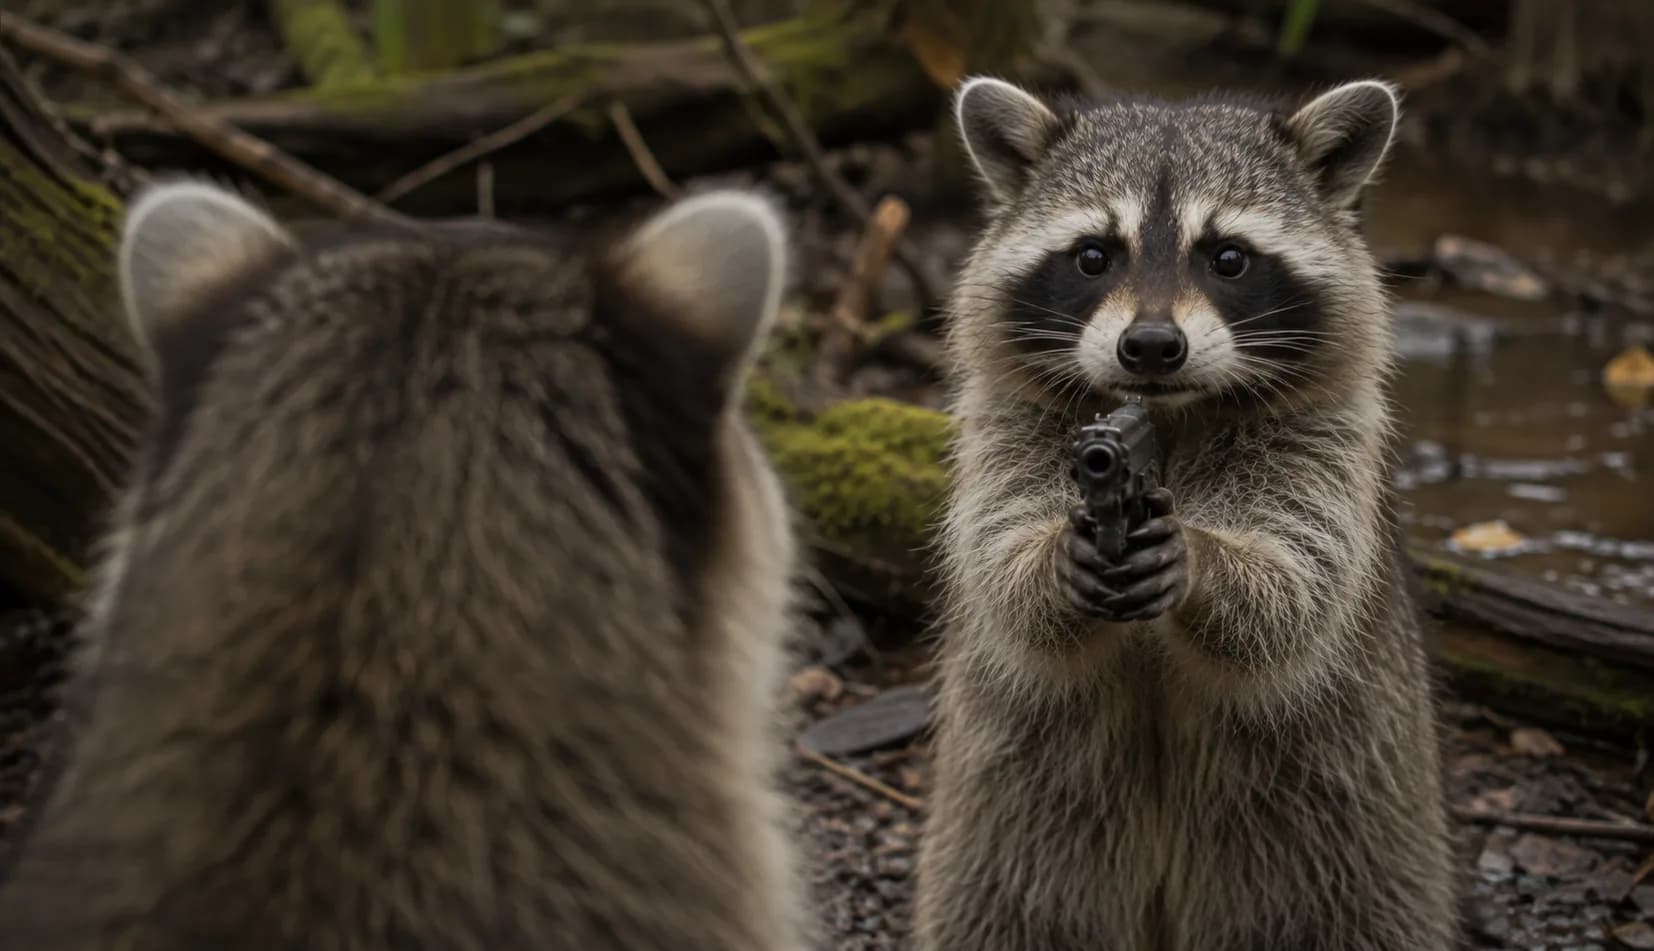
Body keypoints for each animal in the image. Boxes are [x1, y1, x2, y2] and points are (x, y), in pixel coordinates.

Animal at [913, 78, 1457, 950]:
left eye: (1228, 257)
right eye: (1093, 255)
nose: (1150, 345)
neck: (1167, 416)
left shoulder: (1326, 442)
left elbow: (1300, 582)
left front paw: (1203, 564)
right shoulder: (1006, 426)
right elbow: (999, 557)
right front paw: (1049, 563)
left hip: (1344, 839)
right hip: (1013, 828)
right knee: (1011, 909)